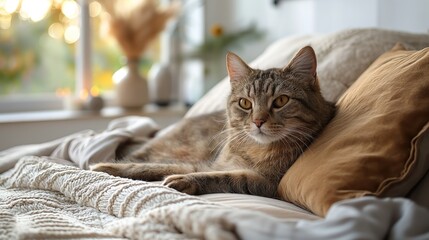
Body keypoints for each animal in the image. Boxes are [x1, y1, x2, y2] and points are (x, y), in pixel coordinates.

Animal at [92, 46, 336, 198]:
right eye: (245, 103)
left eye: (281, 101)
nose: (258, 121)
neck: (254, 149)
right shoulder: (207, 162)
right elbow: (160, 166)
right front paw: (109, 167)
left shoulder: (266, 183)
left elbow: (224, 177)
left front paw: (186, 180)